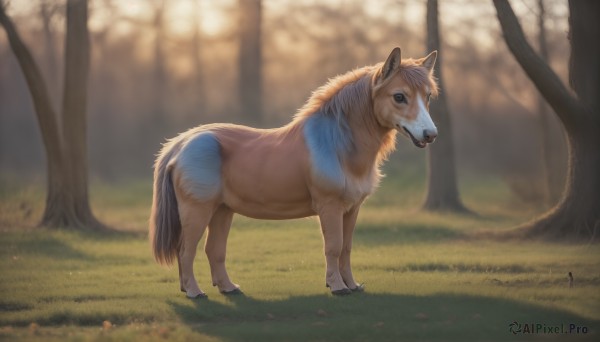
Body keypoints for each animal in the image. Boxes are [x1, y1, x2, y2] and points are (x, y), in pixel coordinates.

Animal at [150, 46, 440, 298]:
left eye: (427, 96)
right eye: (399, 96)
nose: (430, 134)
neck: (337, 143)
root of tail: (180, 145)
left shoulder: (351, 209)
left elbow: (346, 248)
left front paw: (352, 284)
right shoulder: (330, 207)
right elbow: (333, 247)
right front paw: (338, 287)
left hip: (222, 211)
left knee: (214, 251)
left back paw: (229, 288)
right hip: (197, 211)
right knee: (186, 250)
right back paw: (194, 291)